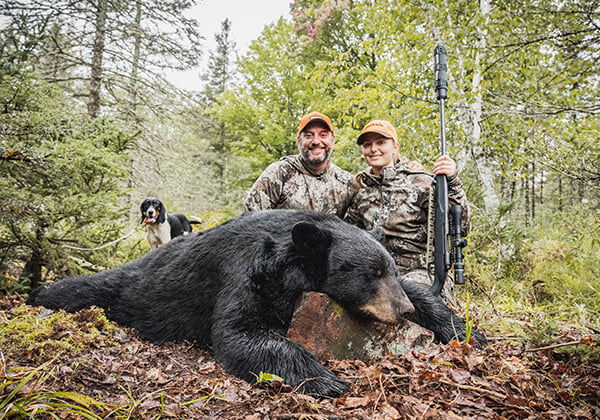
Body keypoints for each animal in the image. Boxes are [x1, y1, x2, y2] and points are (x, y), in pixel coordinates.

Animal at [28, 210, 486, 398]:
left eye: (388, 268)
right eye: (370, 274)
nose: (402, 311)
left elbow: (424, 291)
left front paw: (463, 329)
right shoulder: (246, 271)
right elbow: (240, 332)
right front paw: (326, 379)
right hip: (125, 287)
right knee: (85, 288)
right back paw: (41, 296)